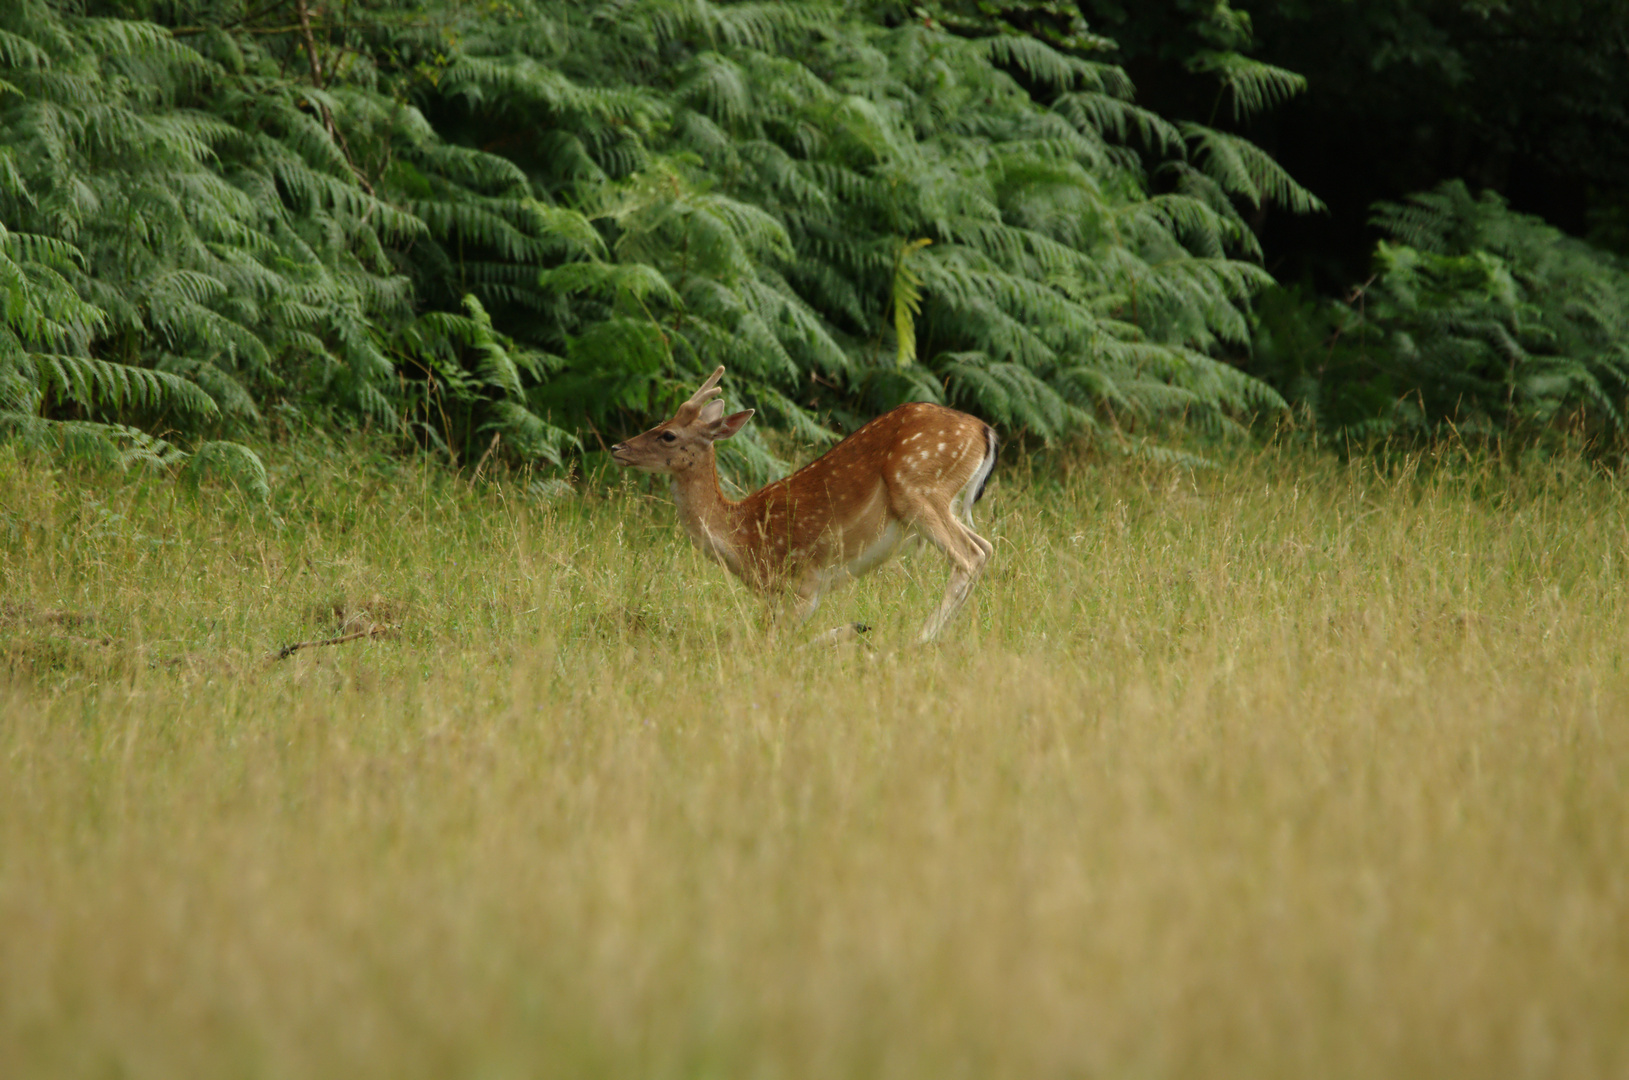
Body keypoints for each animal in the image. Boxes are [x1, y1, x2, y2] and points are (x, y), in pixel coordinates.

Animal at [609, 368, 990, 645]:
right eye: (658, 423)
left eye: (668, 435)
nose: (617, 447)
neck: (741, 539)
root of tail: (985, 431)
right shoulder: (773, 595)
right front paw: (853, 630)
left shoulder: (804, 581)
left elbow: (774, 644)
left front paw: (851, 631)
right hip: (938, 499)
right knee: (985, 546)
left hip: (917, 488)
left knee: (969, 554)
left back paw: (920, 638)